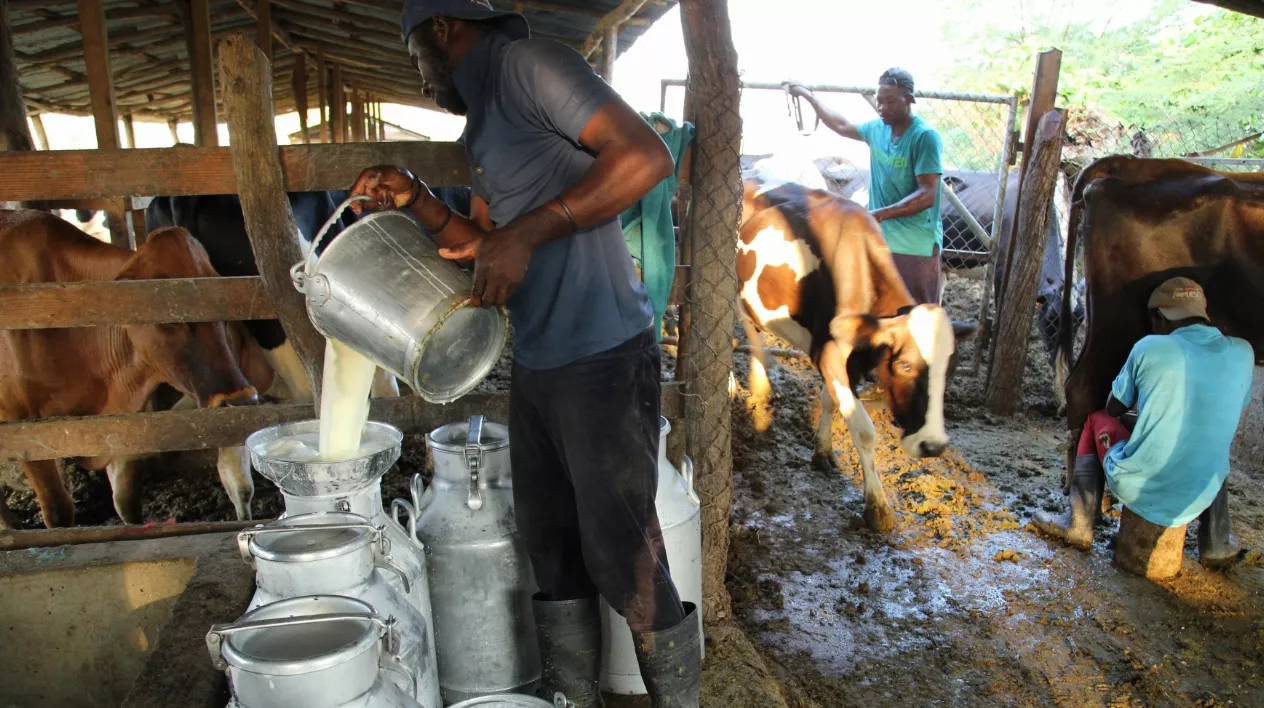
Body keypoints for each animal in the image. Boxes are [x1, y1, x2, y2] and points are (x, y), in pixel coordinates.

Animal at [1, 209, 269, 525]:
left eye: (226, 307)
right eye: (168, 319)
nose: (242, 400)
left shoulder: (124, 422)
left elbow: (126, 501)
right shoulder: (26, 431)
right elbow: (58, 511)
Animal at [738, 177, 970, 531]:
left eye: (952, 369)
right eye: (904, 364)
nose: (932, 444)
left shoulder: (847, 360)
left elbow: (830, 400)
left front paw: (822, 452)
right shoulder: (829, 353)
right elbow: (863, 430)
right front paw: (877, 506)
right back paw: (755, 385)